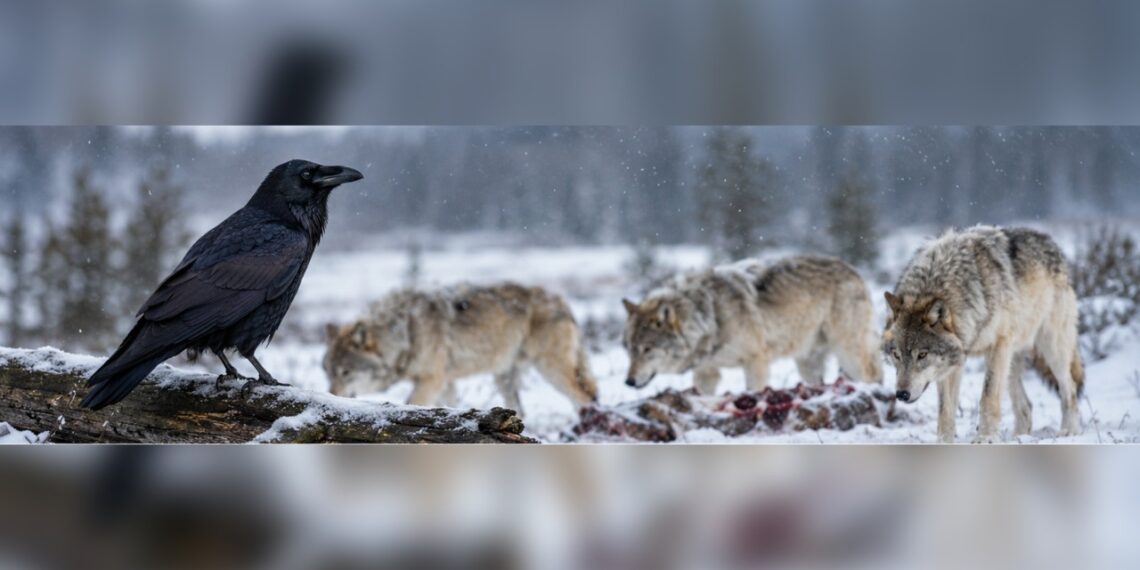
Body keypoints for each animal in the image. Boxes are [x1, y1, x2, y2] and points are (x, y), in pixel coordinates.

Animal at [323, 282, 598, 413]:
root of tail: (561, 300)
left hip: (551, 371)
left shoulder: (432, 380)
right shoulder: (446, 383)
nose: (331, 395)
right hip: (504, 378)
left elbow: (411, 403)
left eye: (346, 372)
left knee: (585, 398)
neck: (407, 331)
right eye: (329, 373)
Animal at [622, 255, 883, 394]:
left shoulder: (756, 361)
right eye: (630, 350)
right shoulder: (707, 372)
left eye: (647, 349)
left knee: (873, 376)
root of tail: (853, 270)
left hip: (849, 354)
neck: (709, 316)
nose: (628, 382)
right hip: (808, 366)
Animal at [883, 225, 1084, 443]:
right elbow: (945, 411)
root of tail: (1049, 241)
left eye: (922, 355)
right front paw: (944, 442)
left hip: (1051, 349)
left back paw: (1068, 430)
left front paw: (985, 438)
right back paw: (1020, 437)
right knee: (1026, 406)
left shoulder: (998, 346)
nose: (901, 394)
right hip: (1012, 361)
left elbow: (988, 397)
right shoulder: (953, 363)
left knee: (1070, 388)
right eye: (896, 355)